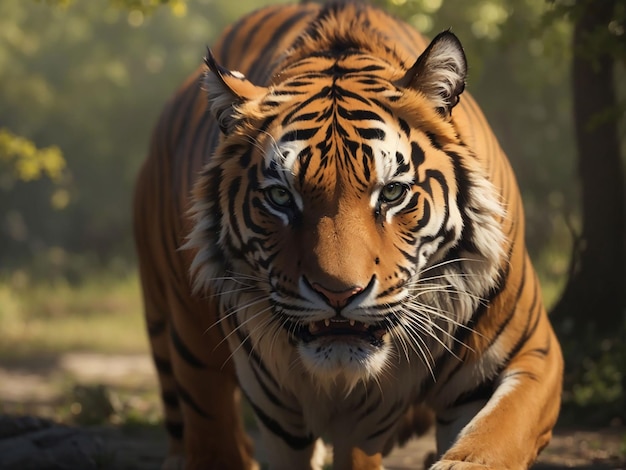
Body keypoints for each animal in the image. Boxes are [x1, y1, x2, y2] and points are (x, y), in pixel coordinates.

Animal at [134, 1, 564, 468]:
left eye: (392, 192)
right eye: (281, 197)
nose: (339, 294)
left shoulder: (532, 354)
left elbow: (492, 438)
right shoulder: (275, 419)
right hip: (182, 334)